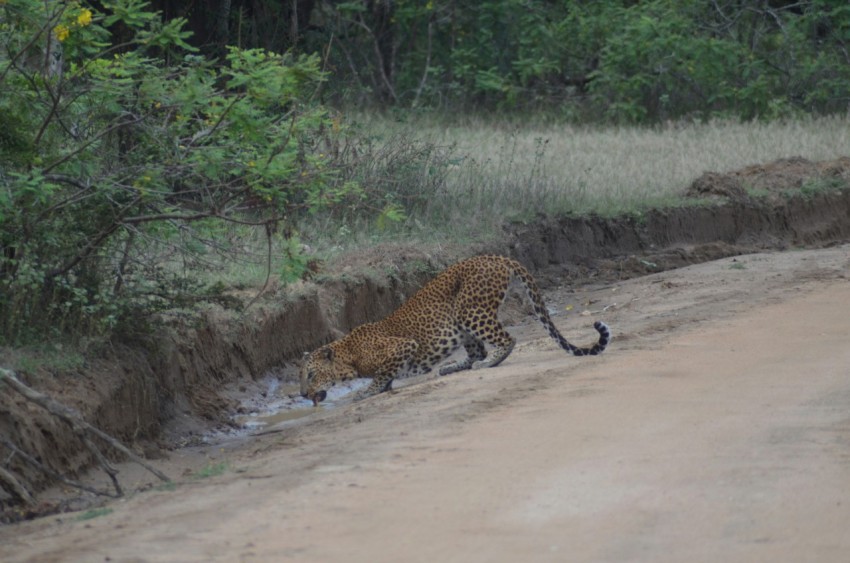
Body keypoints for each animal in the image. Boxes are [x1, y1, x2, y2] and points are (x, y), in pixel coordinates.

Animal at [298, 256, 608, 406]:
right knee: (476, 350)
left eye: (310, 375)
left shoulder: (402, 347)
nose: (301, 395)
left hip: (469, 311)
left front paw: (364, 392)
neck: (348, 355)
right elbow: (385, 377)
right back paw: (453, 367)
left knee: (506, 339)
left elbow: (380, 376)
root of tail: (496, 257)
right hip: (462, 322)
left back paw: (489, 362)